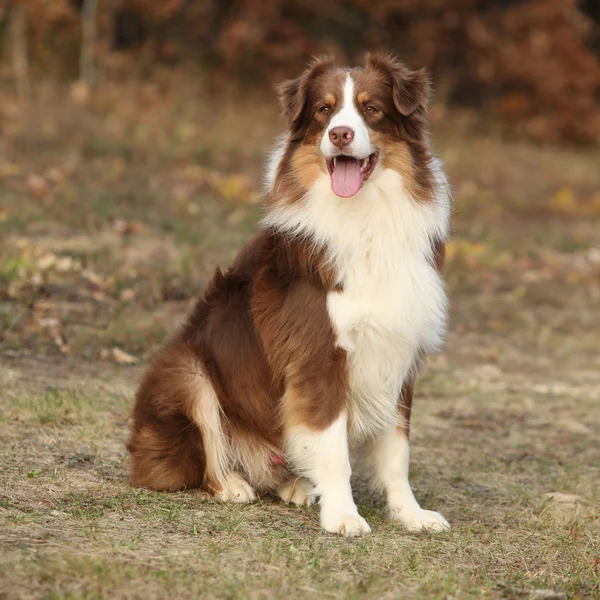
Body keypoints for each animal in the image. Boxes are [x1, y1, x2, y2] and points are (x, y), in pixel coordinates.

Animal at [127, 54, 454, 536]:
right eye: (324, 110)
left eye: (371, 109)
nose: (340, 134)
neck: (365, 218)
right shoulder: (318, 355)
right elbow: (334, 450)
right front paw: (343, 515)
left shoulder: (399, 351)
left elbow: (397, 451)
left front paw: (409, 513)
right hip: (186, 369)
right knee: (201, 460)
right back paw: (232, 484)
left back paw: (295, 485)